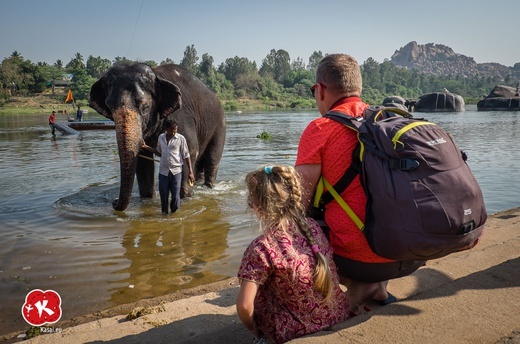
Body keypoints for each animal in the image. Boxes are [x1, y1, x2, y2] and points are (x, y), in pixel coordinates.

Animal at [90, 62, 228, 211]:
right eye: (109, 106)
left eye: (145, 107)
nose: (114, 202)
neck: (156, 75)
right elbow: (142, 160)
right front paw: (148, 199)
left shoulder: (183, 118)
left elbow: (189, 151)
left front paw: (185, 198)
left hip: (220, 125)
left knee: (212, 160)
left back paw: (208, 187)